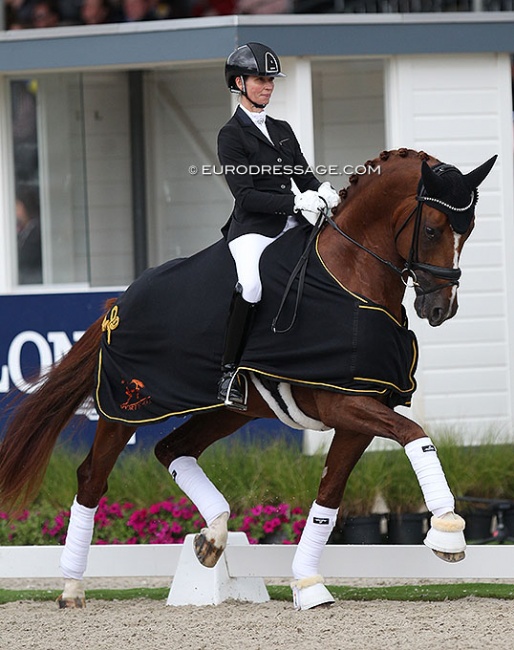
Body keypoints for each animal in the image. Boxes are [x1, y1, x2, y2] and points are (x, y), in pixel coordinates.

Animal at [0, 147, 496, 608]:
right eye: (432, 229)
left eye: (468, 229)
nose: (440, 308)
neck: (352, 276)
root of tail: (118, 303)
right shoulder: (342, 403)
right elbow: (416, 435)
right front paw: (447, 532)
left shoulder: (362, 409)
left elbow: (330, 496)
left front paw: (309, 584)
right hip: (124, 408)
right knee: (91, 479)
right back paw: (71, 587)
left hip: (229, 412)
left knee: (172, 449)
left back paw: (213, 536)